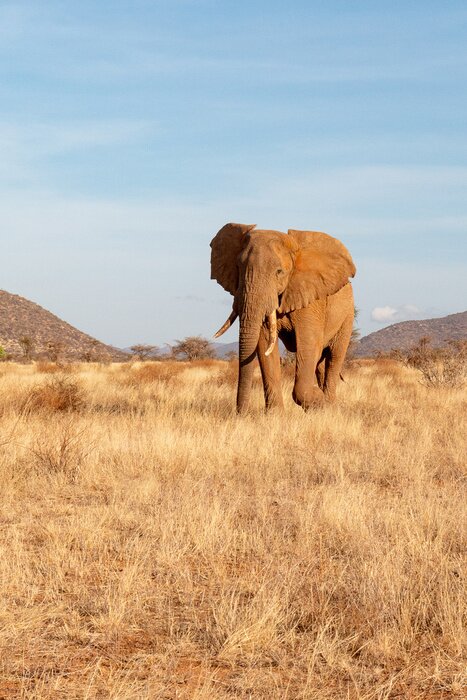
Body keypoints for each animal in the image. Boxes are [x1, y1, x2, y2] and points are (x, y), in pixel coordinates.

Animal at [210, 223, 356, 413]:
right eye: (238, 268)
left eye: (279, 272)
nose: (241, 414)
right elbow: (265, 346)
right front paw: (275, 414)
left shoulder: (311, 299)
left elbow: (309, 344)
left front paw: (318, 401)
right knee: (320, 363)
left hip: (347, 315)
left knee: (334, 357)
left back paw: (329, 406)